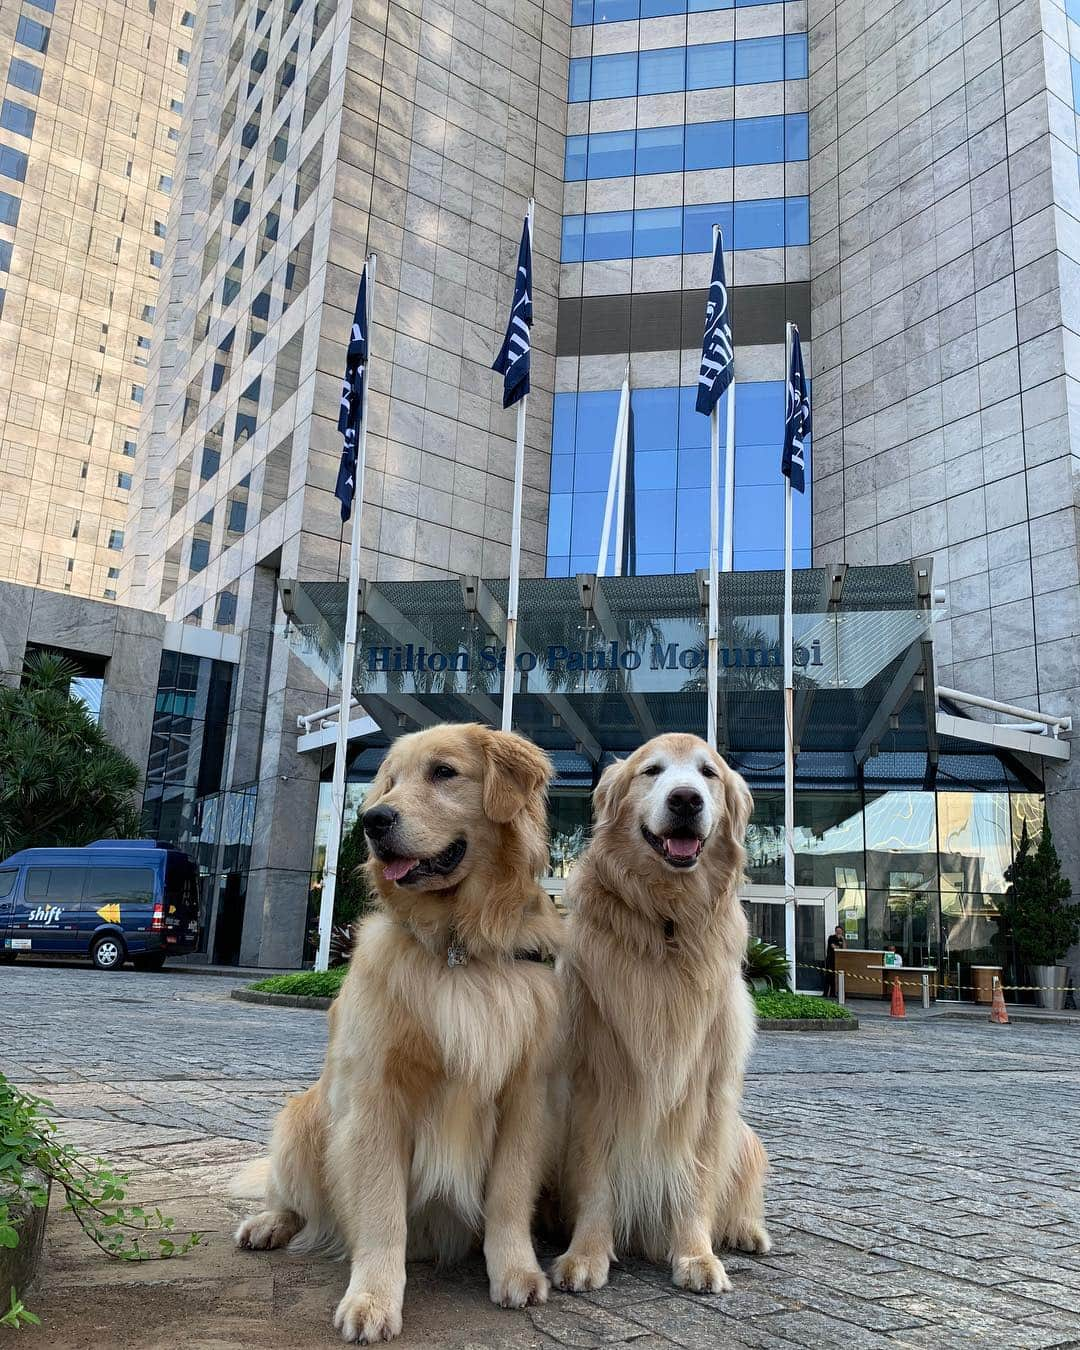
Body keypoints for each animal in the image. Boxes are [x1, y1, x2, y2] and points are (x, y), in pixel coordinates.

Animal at [233, 734, 561, 1344]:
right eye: (389, 783)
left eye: (444, 772)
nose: (372, 820)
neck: (458, 947)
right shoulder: (377, 1099)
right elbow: (382, 1212)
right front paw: (372, 1299)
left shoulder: (526, 1094)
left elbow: (508, 1196)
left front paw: (516, 1271)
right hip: (301, 1119)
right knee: (293, 1198)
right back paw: (268, 1223)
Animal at [553, 739, 772, 1296]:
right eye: (651, 770)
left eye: (708, 773)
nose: (686, 799)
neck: (666, 920)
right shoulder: (592, 1082)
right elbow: (594, 1177)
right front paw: (585, 1254)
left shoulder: (709, 1089)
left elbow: (696, 1181)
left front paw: (696, 1256)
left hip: (744, 1135)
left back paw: (745, 1230)